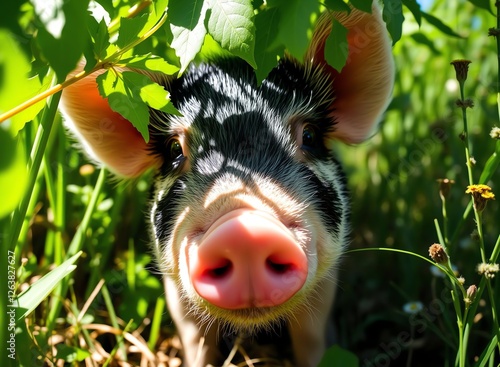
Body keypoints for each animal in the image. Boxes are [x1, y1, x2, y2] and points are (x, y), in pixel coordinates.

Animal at [59, 2, 394, 366]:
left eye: (310, 136)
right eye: (175, 151)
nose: (244, 228)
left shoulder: (327, 279)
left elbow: (312, 336)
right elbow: (195, 339)